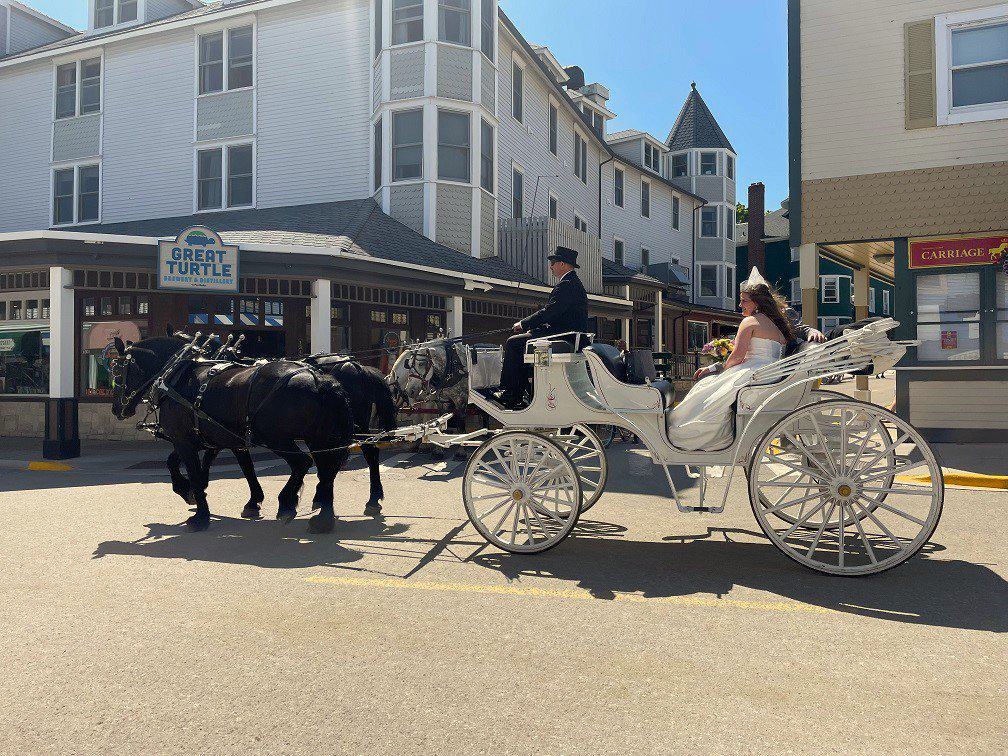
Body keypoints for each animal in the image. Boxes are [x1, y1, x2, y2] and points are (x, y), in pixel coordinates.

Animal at [109, 336, 352, 532]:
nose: (116, 409)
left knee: (303, 463)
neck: (177, 376)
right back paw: (323, 519)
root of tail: (320, 380)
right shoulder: (208, 439)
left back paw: (287, 504)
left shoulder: (184, 440)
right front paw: (191, 493)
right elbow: (239, 468)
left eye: (118, 371)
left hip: (277, 437)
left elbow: (194, 472)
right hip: (318, 438)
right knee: (326, 471)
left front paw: (200, 515)